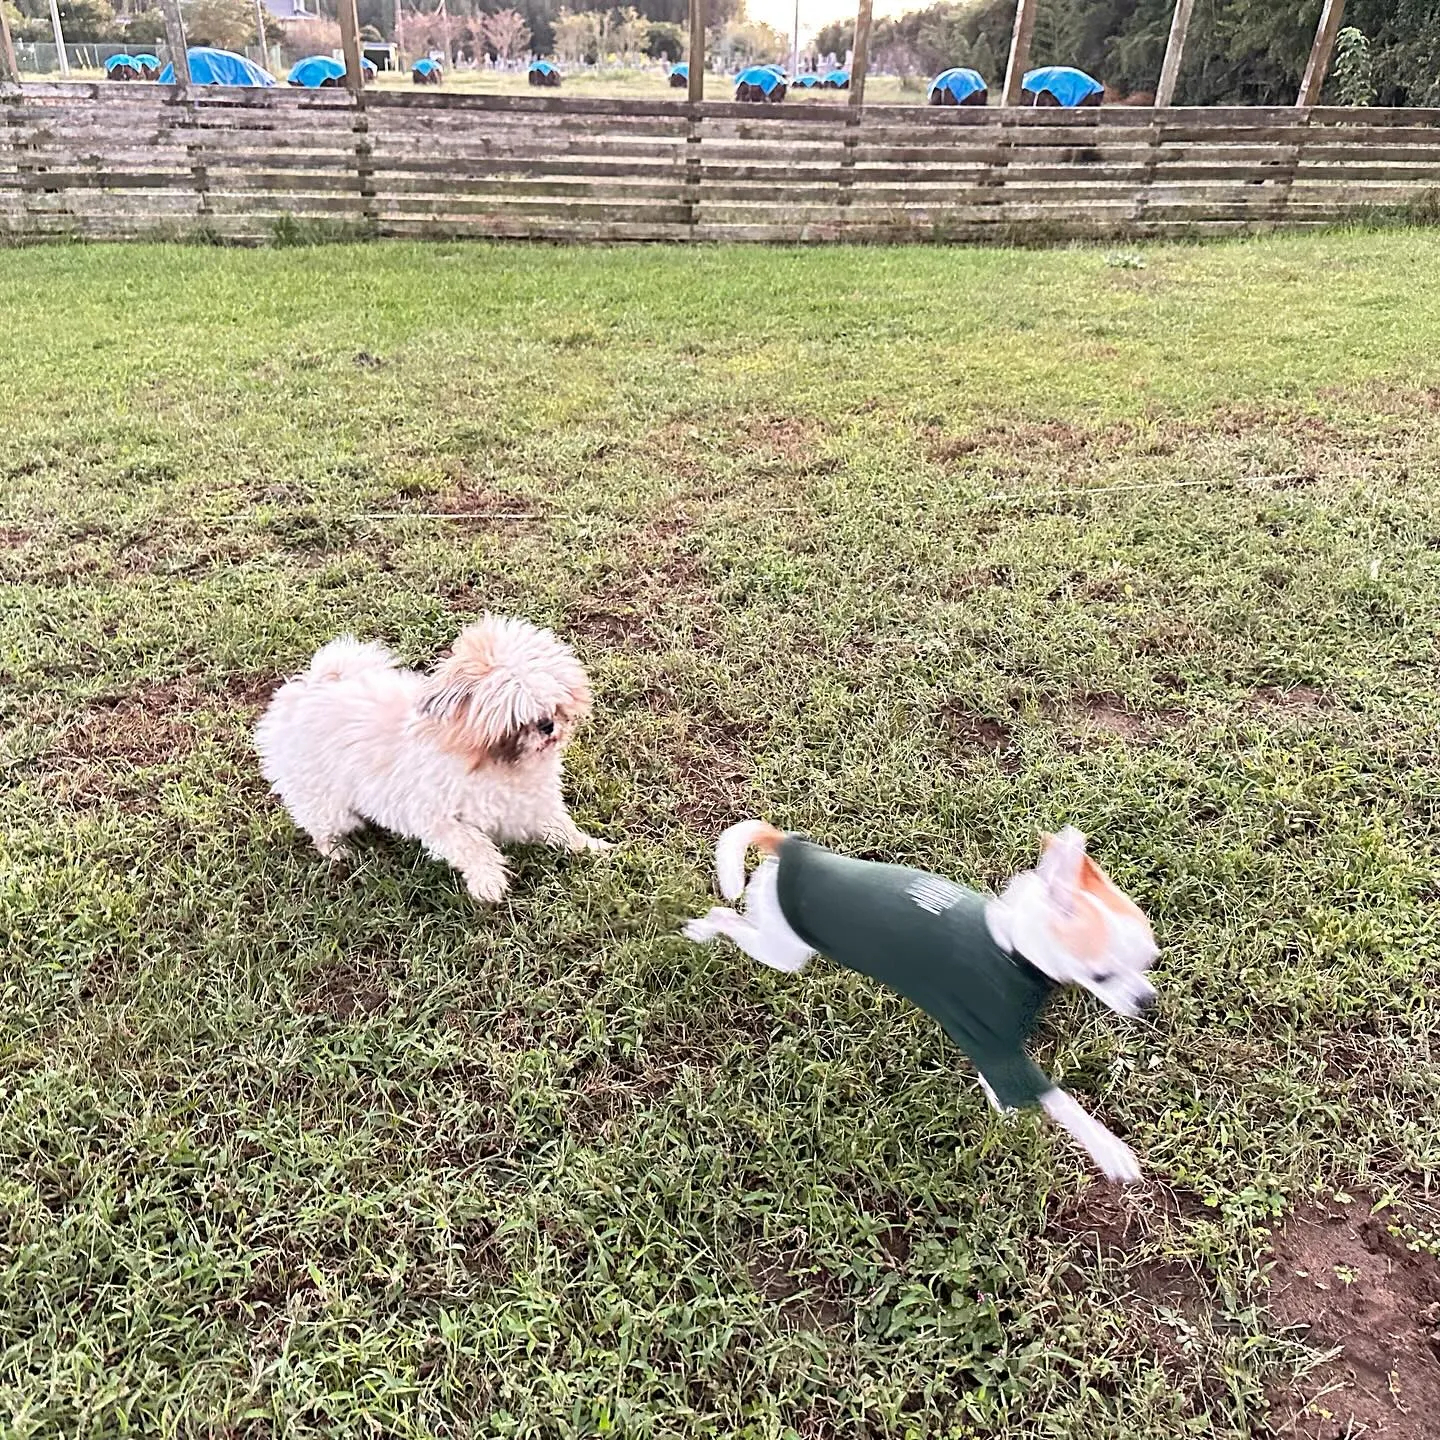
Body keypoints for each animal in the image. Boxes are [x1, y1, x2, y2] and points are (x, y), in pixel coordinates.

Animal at [256, 616, 604, 898]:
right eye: (515, 718)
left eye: (554, 702)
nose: (547, 725)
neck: (500, 764)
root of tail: (308, 688)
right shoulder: (438, 819)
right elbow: (473, 846)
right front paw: (489, 884)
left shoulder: (534, 804)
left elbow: (561, 828)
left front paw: (593, 848)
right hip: (322, 799)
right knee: (321, 825)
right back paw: (336, 850)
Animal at [682, 823, 1157, 1180]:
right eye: (1102, 976)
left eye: (1150, 961)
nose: (1148, 1000)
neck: (1014, 950)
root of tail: (788, 845)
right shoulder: (993, 1043)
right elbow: (1060, 1101)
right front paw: (1108, 1149)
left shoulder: (995, 1053)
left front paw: (1003, 1110)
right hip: (783, 950)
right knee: (727, 918)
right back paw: (703, 929)